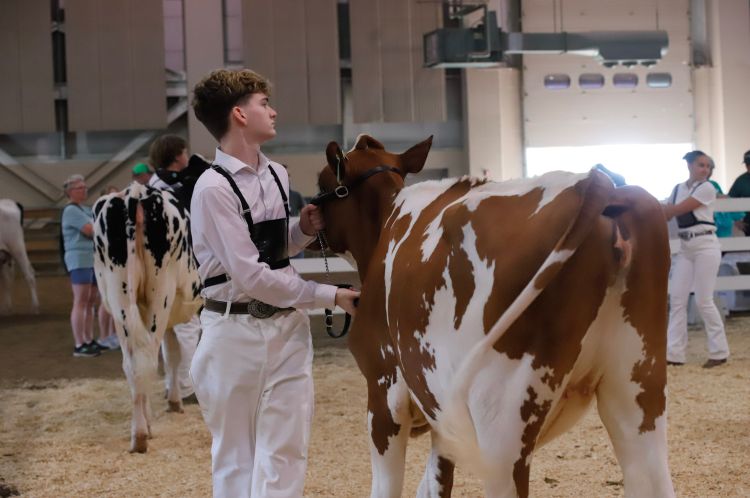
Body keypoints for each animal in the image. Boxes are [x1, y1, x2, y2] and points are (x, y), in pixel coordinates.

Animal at [93, 182, 201, 453]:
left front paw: (172, 400)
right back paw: (143, 433)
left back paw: (140, 430)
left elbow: (171, 354)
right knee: (148, 358)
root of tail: (136, 193)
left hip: (119, 297)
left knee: (134, 362)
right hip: (161, 291)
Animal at [314, 134, 675, 497]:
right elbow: (435, 484)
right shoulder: (442, 423)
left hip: (500, 422)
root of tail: (599, 185)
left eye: (321, 182)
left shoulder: (383, 388)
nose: (308, 217)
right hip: (637, 392)